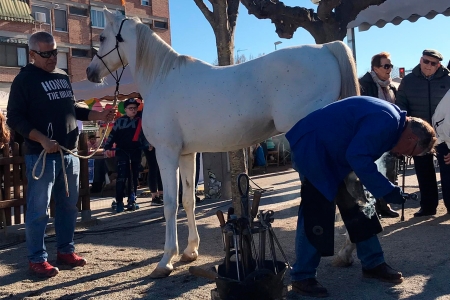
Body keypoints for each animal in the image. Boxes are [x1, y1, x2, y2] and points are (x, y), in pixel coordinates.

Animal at [86, 9, 360, 278]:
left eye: (102, 38)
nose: (90, 72)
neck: (161, 79)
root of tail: (326, 49)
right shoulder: (186, 155)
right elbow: (188, 200)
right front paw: (190, 251)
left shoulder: (166, 153)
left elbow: (170, 204)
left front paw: (166, 260)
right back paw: (346, 252)